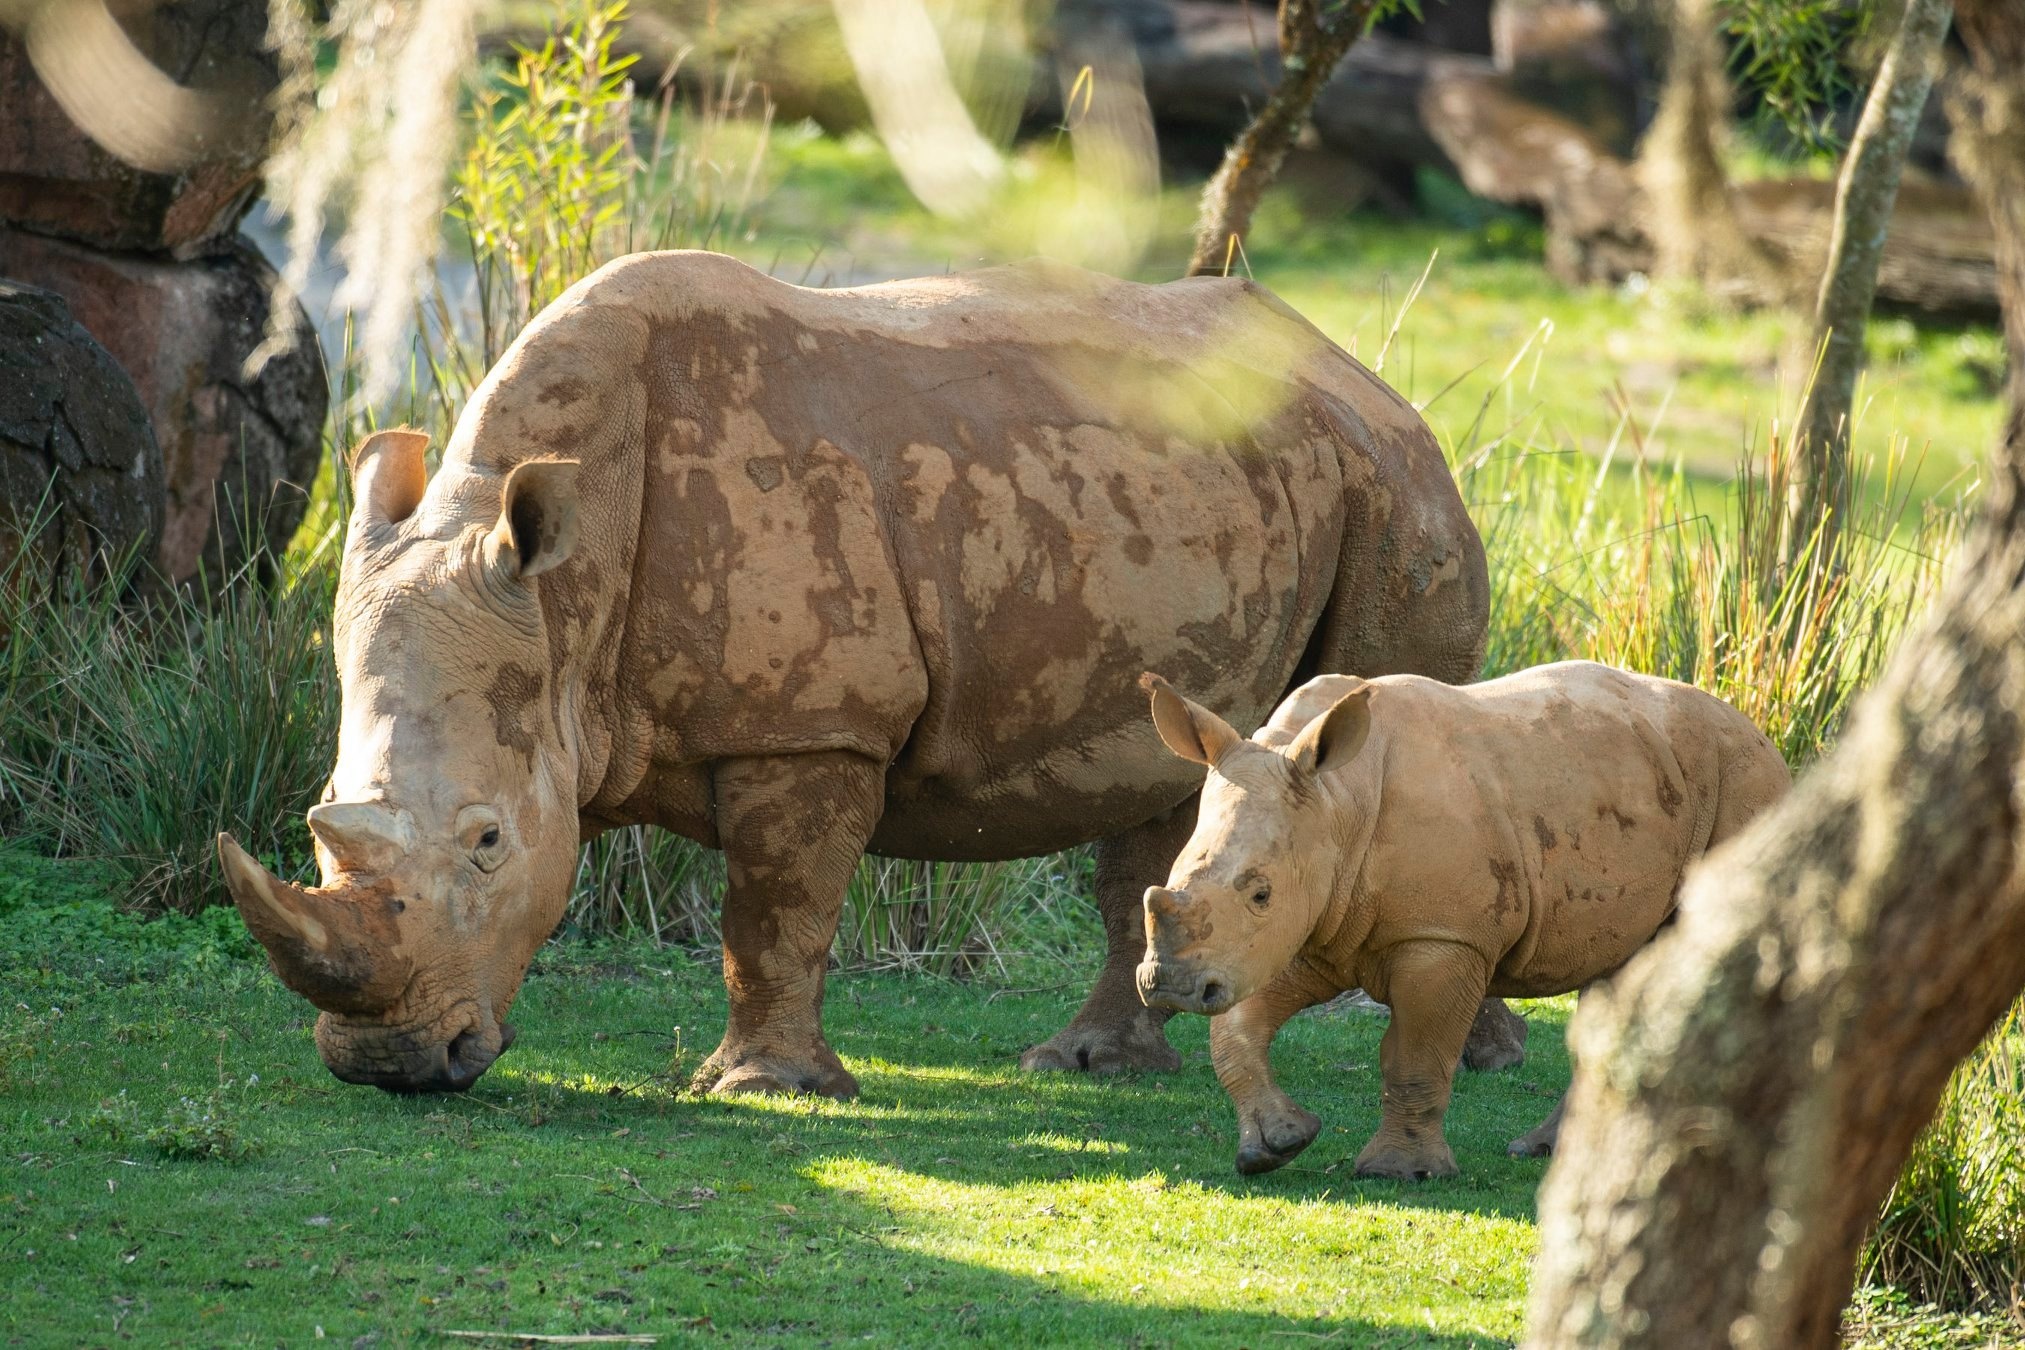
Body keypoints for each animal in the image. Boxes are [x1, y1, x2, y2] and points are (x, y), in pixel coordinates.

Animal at [213, 250, 1498, 1101]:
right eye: (320, 822)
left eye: (487, 842)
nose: (388, 1067)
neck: (560, 597)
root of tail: (1364, 377)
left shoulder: (813, 725)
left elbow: (775, 908)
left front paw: (765, 1090)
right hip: (1253, 490)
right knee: (1180, 779)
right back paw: (1089, 1065)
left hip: (1398, 496)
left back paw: (1466, 1059)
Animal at [1142, 663, 1790, 1182]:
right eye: (1172, 873)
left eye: (1260, 893)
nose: (1168, 985)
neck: (1337, 801)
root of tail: (1761, 733)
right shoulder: (1306, 925)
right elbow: (1235, 1032)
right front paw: (1276, 1145)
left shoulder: (1442, 938)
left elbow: (1416, 1057)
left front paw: (1400, 1173)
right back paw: (1545, 1151)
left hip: (1743, 781)